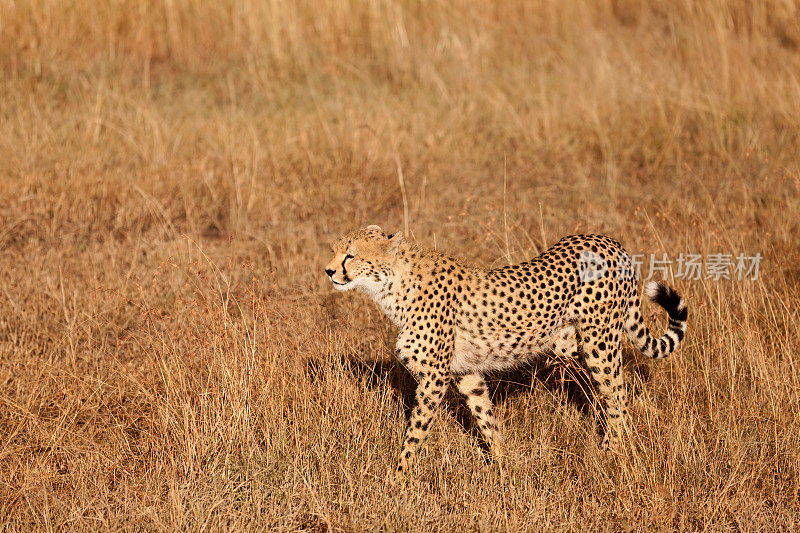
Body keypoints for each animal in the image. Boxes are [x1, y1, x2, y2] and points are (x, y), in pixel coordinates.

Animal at [324, 227, 688, 476]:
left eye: (350, 255)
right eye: (334, 250)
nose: (328, 270)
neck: (392, 286)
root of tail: (609, 241)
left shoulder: (434, 378)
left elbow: (415, 432)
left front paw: (398, 478)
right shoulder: (465, 372)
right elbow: (485, 417)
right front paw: (502, 462)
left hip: (600, 342)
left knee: (617, 394)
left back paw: (613, 450)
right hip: (566, 341)